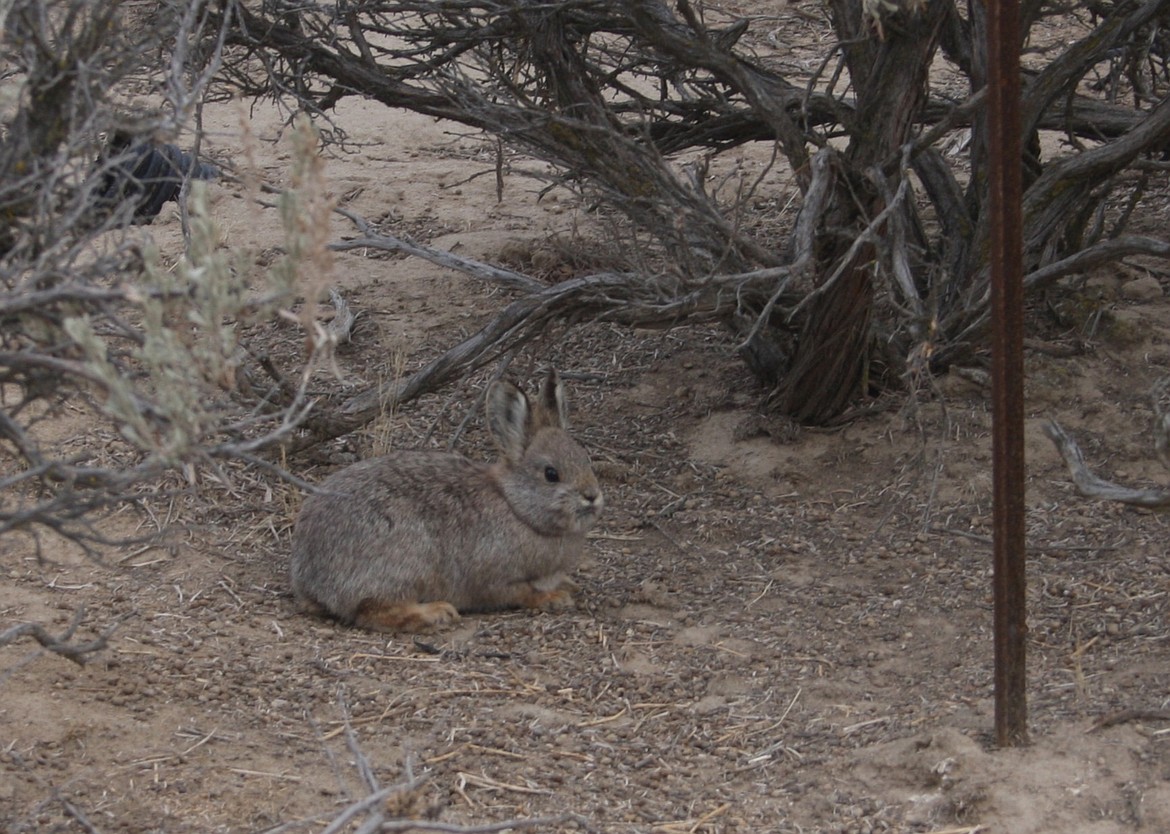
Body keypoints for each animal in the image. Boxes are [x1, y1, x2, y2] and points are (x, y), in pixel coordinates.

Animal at [290, 369, 604, 632]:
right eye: (551, 474)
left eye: (585, 459)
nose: (592, 496)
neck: (516, 507)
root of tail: (309, 575)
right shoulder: (495, 577)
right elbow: (520, 592)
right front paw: (555, 597)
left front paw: (568, 585)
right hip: (408, 561)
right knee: (371, 611)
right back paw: (436, 613)